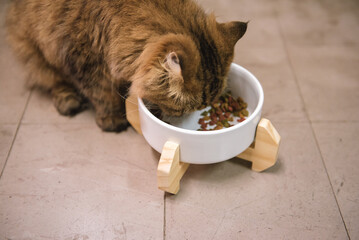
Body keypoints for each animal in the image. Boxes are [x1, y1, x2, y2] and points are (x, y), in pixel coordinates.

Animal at [6, 0, 248, 131]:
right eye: (182, 109)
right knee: (52, 80)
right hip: (35, 50)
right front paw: (113, 119)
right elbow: (103, 93)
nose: (182, 119)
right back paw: (69, 101)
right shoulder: (84, 58)